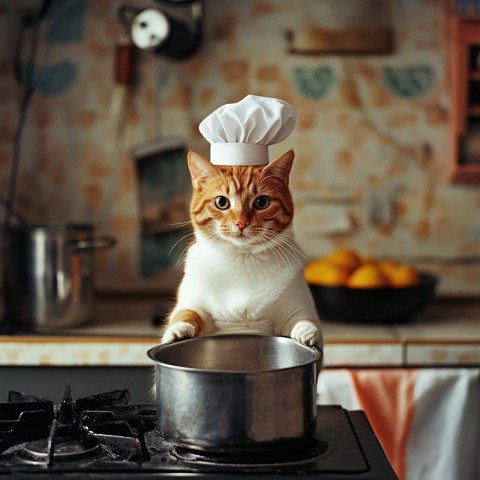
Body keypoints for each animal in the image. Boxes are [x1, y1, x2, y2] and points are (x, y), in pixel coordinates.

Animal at [161, 148, 322, 350]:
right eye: (221, 202)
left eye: (262, 202)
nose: (241, 223)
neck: (242, 258)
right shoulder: (192, 301)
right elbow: (186, 314)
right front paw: (178, 330)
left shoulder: (297, 305)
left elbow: (305, 320)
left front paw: (307, 331)